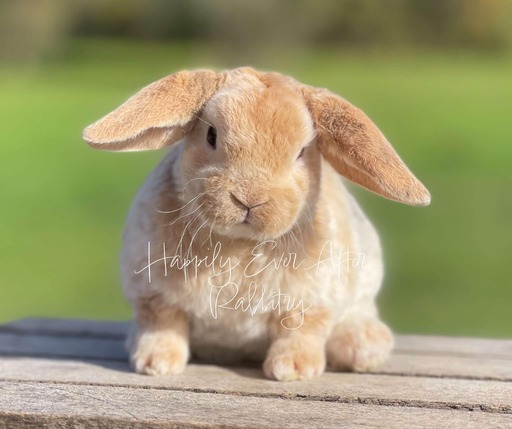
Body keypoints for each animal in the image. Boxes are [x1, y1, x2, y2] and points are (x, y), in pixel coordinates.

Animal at [83, 65, 428, 380]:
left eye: (302, 152)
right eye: (211, 135)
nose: (248, 199)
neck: (239, 242)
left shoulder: (310, 301)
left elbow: (300, 331)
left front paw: (293, 369)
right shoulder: (154, 295)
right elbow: (164, 324)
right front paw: (155, 363)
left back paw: (363, 347)